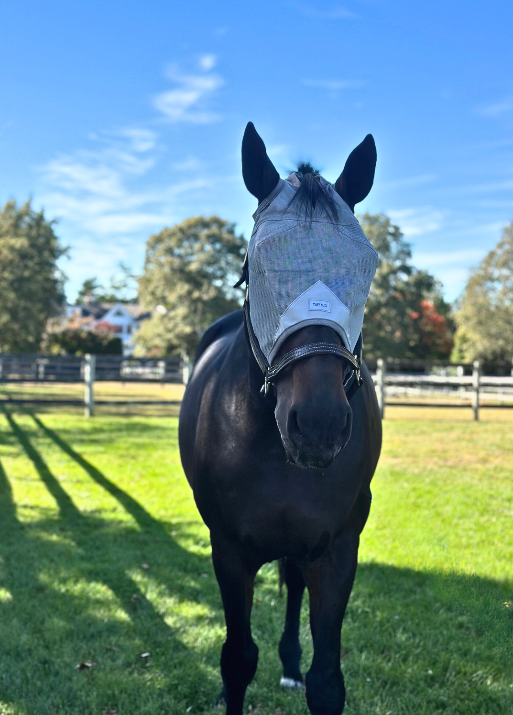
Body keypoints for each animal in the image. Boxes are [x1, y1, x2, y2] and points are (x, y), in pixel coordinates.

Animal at [178, 124, 382, 715]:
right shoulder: (230, 551)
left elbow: (327, 680)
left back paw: (290, 664)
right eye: (255, 268)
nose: (317, 424)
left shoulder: (336, 551)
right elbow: (237, 659)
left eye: (365, 269)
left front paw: (301, 670)